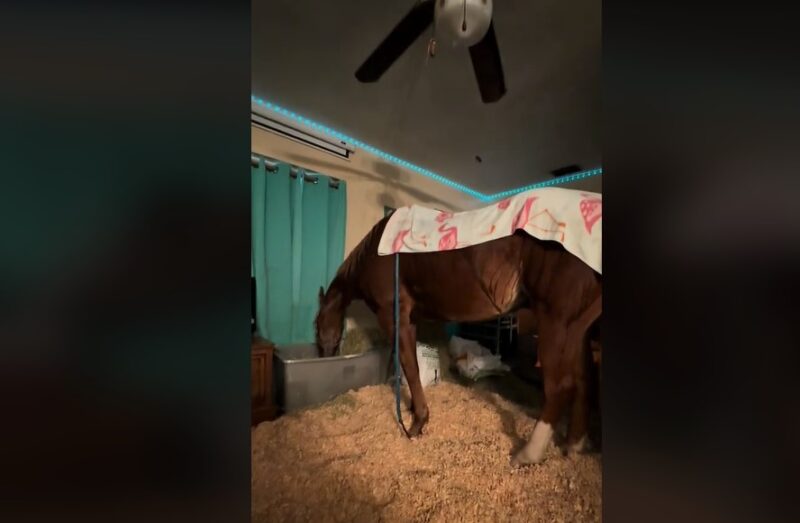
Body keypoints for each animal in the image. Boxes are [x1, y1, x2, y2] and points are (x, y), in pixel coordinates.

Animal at [314, 214, 602, 466]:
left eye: (316, 325)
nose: (323, 356)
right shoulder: (410, 319)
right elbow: (408, 365)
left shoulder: (394, 316)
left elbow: (409, 367)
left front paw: (417, 423)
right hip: (577, 330)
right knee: (584, 380)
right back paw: (573, 446)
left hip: (556, 324)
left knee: (560, 387)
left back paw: (527, 454)